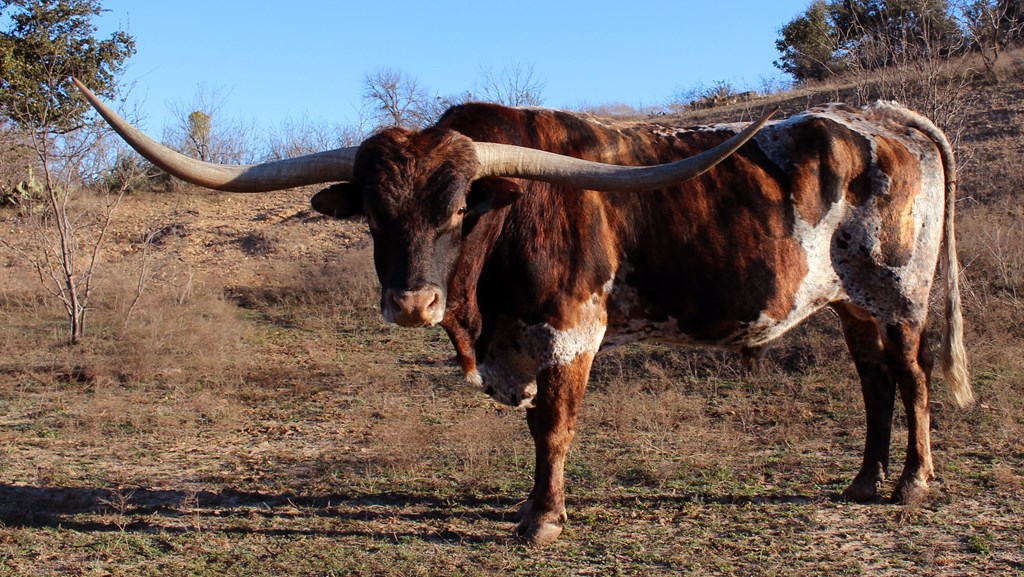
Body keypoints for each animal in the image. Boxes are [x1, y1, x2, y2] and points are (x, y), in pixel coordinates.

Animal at [75, 79, 971, 547]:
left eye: (458, 209)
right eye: (373, 215)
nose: (411, 302)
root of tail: (884, 117)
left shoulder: (570, 330)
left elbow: (553, 427)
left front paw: (540, 518)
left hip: (900, 293)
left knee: (913, 377)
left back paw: (911, 485)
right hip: (851, 301)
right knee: (873, 381)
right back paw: (862, 481)